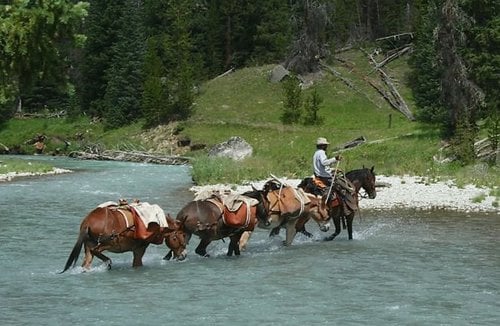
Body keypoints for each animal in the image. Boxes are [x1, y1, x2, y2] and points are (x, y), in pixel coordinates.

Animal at [59, 201, 187, 272]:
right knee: (96, 251)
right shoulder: (139, 249)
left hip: (90, 244)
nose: (184, 255)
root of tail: (88, 221)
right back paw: (108, 262)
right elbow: (137, 264)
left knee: (87, 263)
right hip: (109, 242)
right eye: (176, 237)